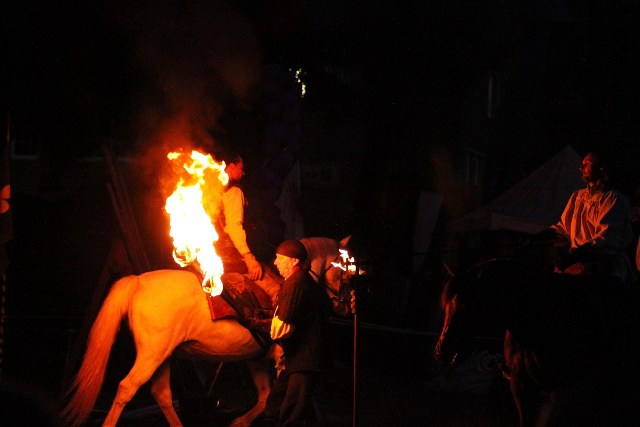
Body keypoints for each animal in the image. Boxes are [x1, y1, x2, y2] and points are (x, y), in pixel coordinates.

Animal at [61, 237, 350, 427]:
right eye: (342, 271)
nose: (345, 306)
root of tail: (139, 281)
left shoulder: (255, 360)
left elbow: (264, 397)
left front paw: (240, 422)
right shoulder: (280, 359)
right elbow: (279, 397)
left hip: (163, 356)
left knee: (162, 394)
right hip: (151, 356)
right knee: (126, 389)